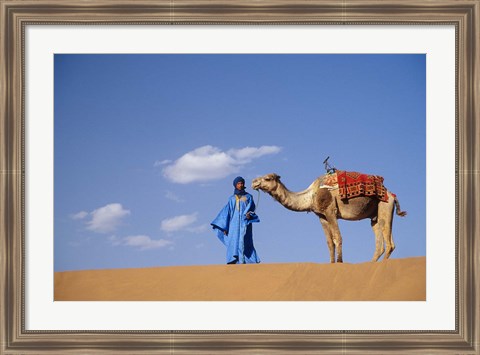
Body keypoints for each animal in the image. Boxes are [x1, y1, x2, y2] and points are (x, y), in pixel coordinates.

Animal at [251, 174, 404, 262]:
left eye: (267, 178)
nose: (253, 182)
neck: (310, 195)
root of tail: (392, 195)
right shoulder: (321, 216)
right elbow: (329, 242)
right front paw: (331, 263)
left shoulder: (331, 211)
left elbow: (338, 238)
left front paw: (340, 262)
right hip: (375, 216)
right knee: (380, 242)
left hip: (385, 206)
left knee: (389, 242)